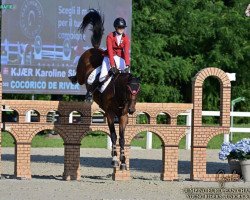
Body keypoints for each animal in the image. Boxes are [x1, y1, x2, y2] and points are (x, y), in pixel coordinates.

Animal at [69, 8, 141, 170]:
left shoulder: (123, 116)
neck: (120, 95)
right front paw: (114, 160)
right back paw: (76, 83)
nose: (132, 110)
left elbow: (122, 138)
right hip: (82, 73)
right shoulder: (109, 113)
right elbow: (113, 135)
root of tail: (95, 49)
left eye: (138, 91)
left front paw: (123, 162)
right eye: (128, 89)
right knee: (80, 78)